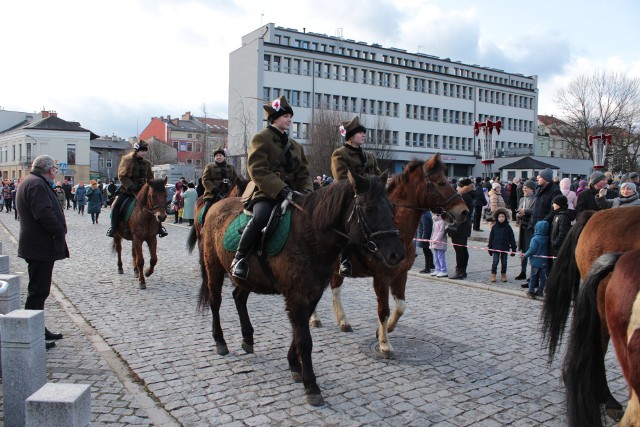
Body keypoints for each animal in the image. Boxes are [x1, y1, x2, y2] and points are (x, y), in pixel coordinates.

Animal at [188, 172, 404, 406]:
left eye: (391, 207)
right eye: (369, 209)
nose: (397, 255)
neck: (310, 235)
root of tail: (216, 206)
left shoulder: (313, 293)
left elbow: (299, 332)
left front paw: (294, 364)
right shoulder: (297, 297)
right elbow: (304, 339)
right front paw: (311, 385)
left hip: (249, 278)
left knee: (238, 297)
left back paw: (247, 338)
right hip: (214, 267)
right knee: (215, 301)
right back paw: (220, 340)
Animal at [308, 155, 468, 356]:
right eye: (441, 183)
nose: (464, 211)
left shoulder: (401, 274)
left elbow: (400, 307)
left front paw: (385, 330)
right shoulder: (381, 278)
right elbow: (383, 309)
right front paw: (384, 344)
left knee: (335, 289)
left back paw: (343, 321)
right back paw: (314, 319)